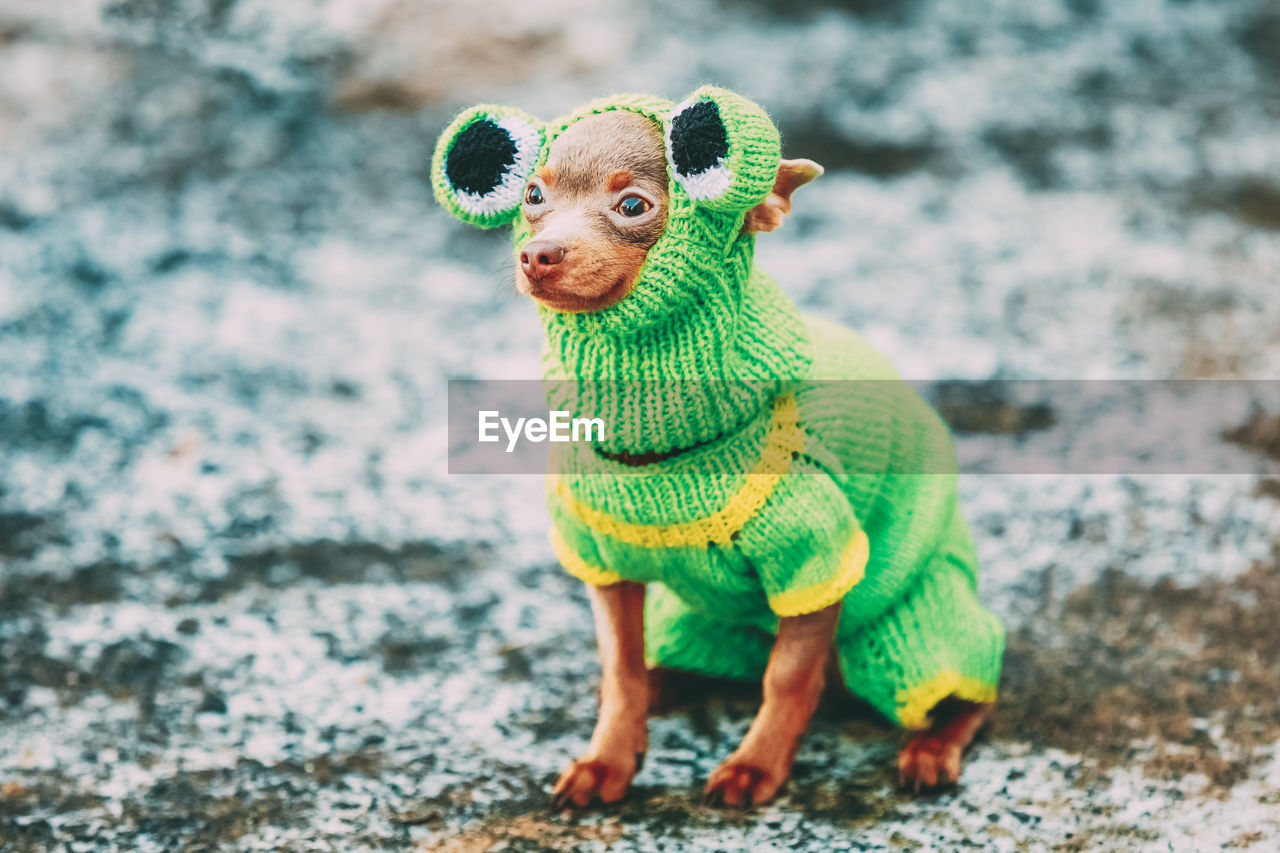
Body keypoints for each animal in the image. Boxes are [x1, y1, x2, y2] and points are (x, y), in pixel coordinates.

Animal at [435, 89, 1003, 809]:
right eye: (533, 194)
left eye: (633, 206)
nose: (537, 254)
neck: (656, 445)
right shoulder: (603, 564)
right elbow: (619, 669)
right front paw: (607, 756)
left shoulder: (815, 561)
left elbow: (787, 677)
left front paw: (756, 765)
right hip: (695, 618)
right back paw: (664, 680)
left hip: (916, 628)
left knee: (970, 689)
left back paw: (930, 747)